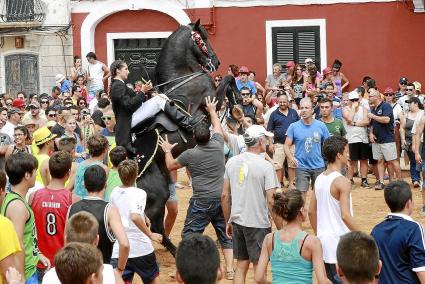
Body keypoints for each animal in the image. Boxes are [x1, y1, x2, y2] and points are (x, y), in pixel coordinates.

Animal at [133, 19, 227, 255]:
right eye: (203, 39)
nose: (216, 61)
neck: (180, 77)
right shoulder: (211, 100)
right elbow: (229, 81)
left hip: (162, 195)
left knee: (157, 229)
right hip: (156, 199)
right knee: (149, 228)